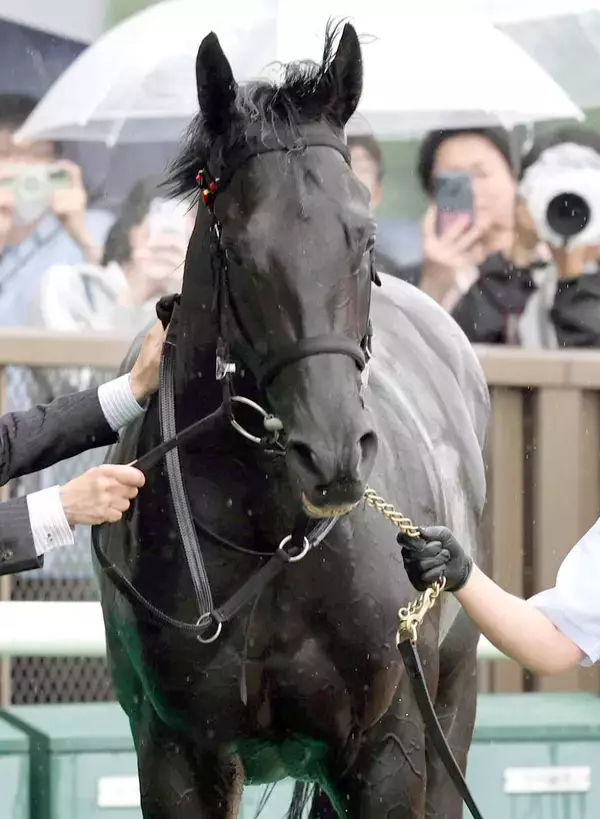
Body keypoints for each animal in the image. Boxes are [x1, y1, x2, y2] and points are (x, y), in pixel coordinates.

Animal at [93, 22, 490, 819]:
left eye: (364, 236)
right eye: (241, 248)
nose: (333, 454)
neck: (269, 536)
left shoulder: (391, 746)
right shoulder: (176, 753)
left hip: (451, 712)